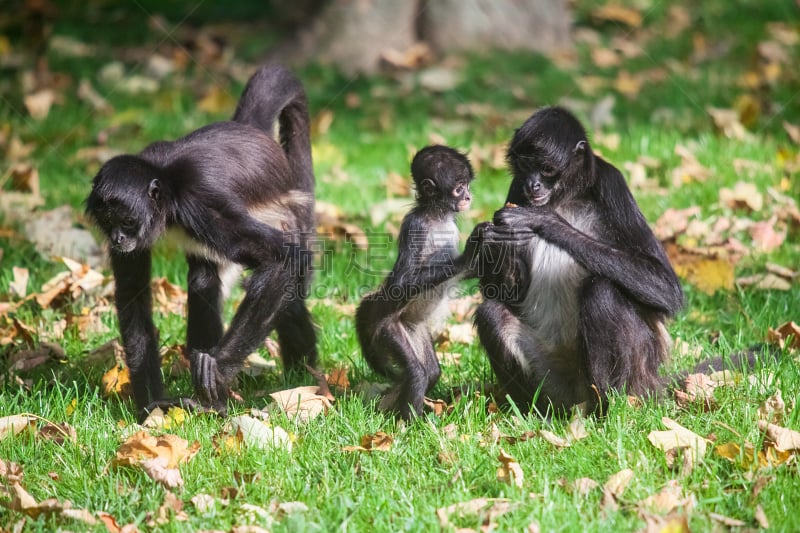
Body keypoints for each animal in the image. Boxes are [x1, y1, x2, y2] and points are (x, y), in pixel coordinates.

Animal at [84, 63, 316, 420]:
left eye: (127, 221)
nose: (119, 238)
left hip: (286, 214)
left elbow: (282, 259)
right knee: (204, 278)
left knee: (287, 292)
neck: (167, 180)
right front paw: (153, 407)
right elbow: (133, 297)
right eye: (109, 223)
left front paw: (217, 375)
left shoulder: (200, 204)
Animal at [354, 145, 476, 420]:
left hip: (414, 328)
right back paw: (407, 423)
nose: (468, 197)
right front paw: (471, 252)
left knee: (431, 371)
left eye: (466, 185)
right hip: (390, 328)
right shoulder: (416, 226)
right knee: (418, 373)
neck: (437, 216)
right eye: (458, 188)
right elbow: (400, 284)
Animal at [472, 107, 684, 416]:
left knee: (601, 292)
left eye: (546, 169)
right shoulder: (516, 189)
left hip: (638, 374)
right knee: (491, 314)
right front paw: (491, 239)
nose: (533, 184)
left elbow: (667, 289)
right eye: (524, 166)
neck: (565, 198)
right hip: (554, 380)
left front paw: (546, 222)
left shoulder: (611, 182)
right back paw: (534, 412)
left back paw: (606, 409)